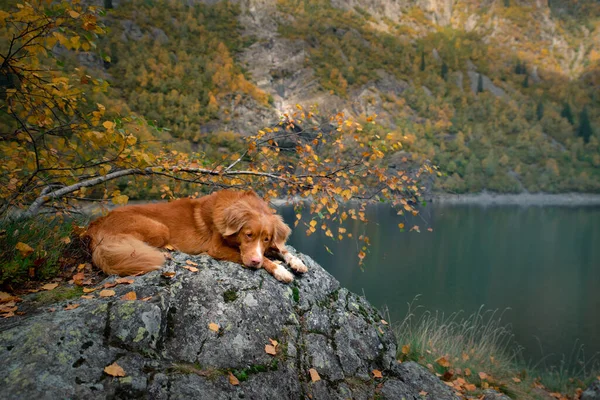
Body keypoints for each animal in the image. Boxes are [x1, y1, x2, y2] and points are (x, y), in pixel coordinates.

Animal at [85, 189, 310, 282]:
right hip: (159, 230)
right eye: (248, 235)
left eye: (266, 239)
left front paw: (296, 261)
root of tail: (96, 224)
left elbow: (282, 249)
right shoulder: (217, 248)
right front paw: (280, 270)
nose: (253, 262)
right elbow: (265, 259)